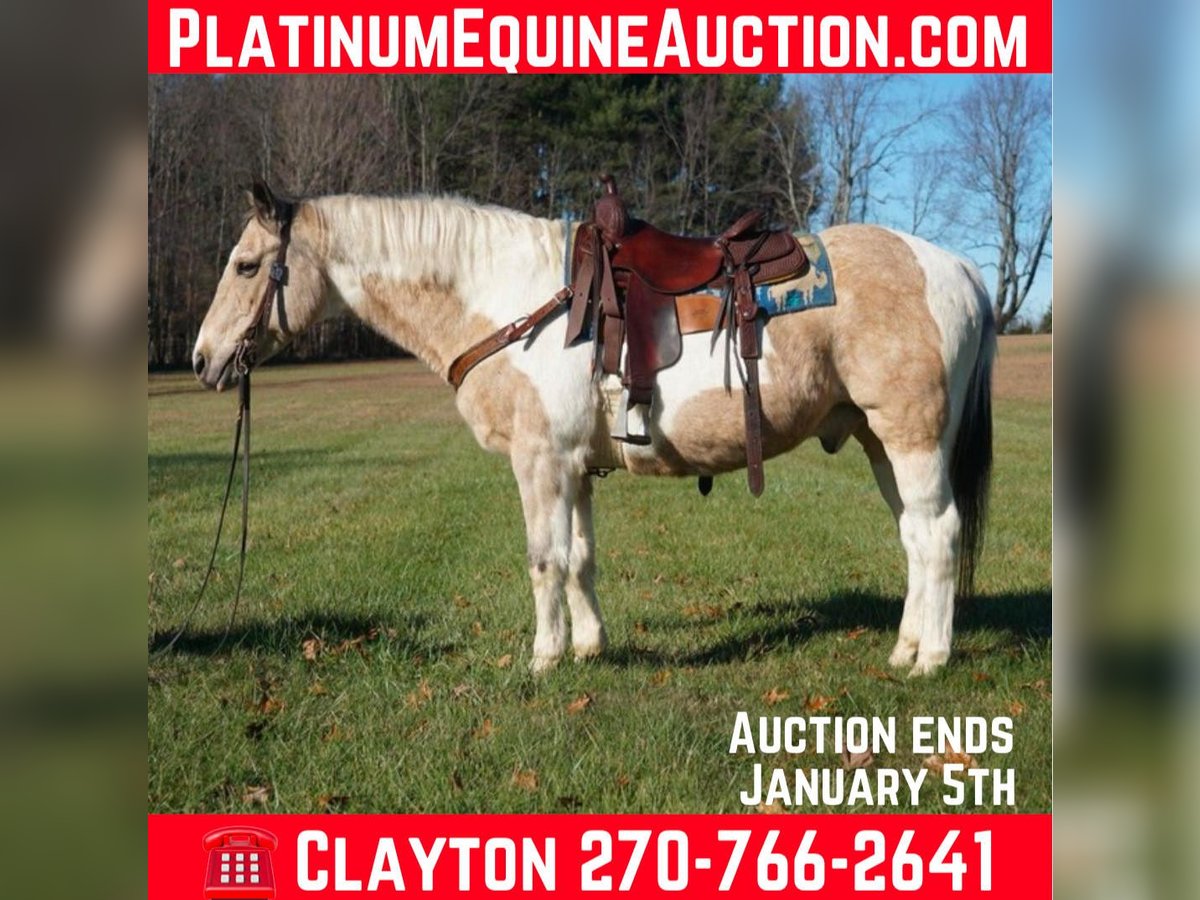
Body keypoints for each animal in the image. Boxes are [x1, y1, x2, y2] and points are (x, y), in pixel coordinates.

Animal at [192, 180, 995, 677]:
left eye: (247, 265)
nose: (202, 360)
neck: (506, 300)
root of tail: (956, 267)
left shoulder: (541, 462)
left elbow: (544, 559)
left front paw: (544, 658)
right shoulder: (575, 467)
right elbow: (579, 559)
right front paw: (589, 648)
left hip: (913, 439)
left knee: (939, 534)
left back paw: (931, 660)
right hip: (877, 442)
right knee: (915, 538)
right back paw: (906, 648)